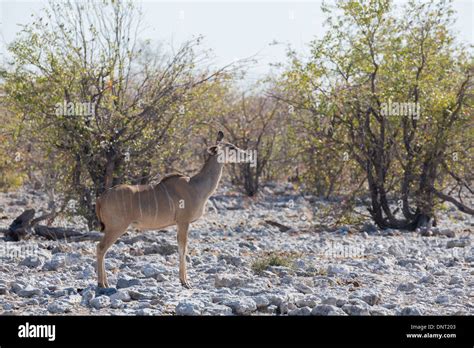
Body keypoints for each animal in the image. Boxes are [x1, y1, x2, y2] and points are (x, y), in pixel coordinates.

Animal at [95, 130, 248, 288]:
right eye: (231, 148)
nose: (246, 154)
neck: (196, 186)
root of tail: (101, 198)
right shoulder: (183, 221)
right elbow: (182, 249)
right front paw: (185, 281)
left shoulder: (181, 223)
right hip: (116, 227)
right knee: (100, 248)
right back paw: (102, 284)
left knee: (102, 249)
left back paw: (105, 282)